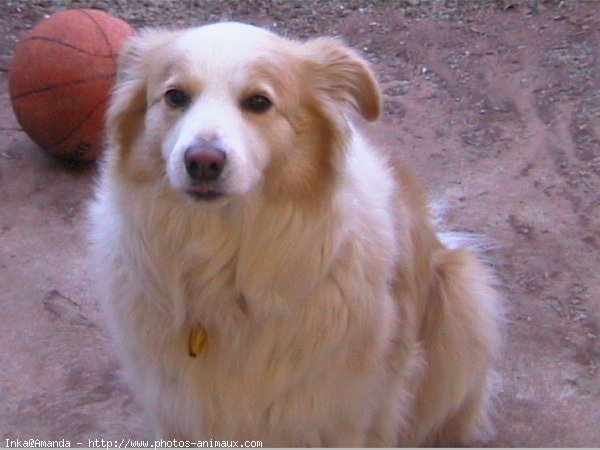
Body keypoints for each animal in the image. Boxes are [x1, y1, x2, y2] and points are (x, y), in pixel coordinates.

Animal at [89, 21, 502, 446]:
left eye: (258, 102)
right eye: (175, 97)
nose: (202, 162)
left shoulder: (341, 417)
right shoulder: (176, 414)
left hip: (464, 293)